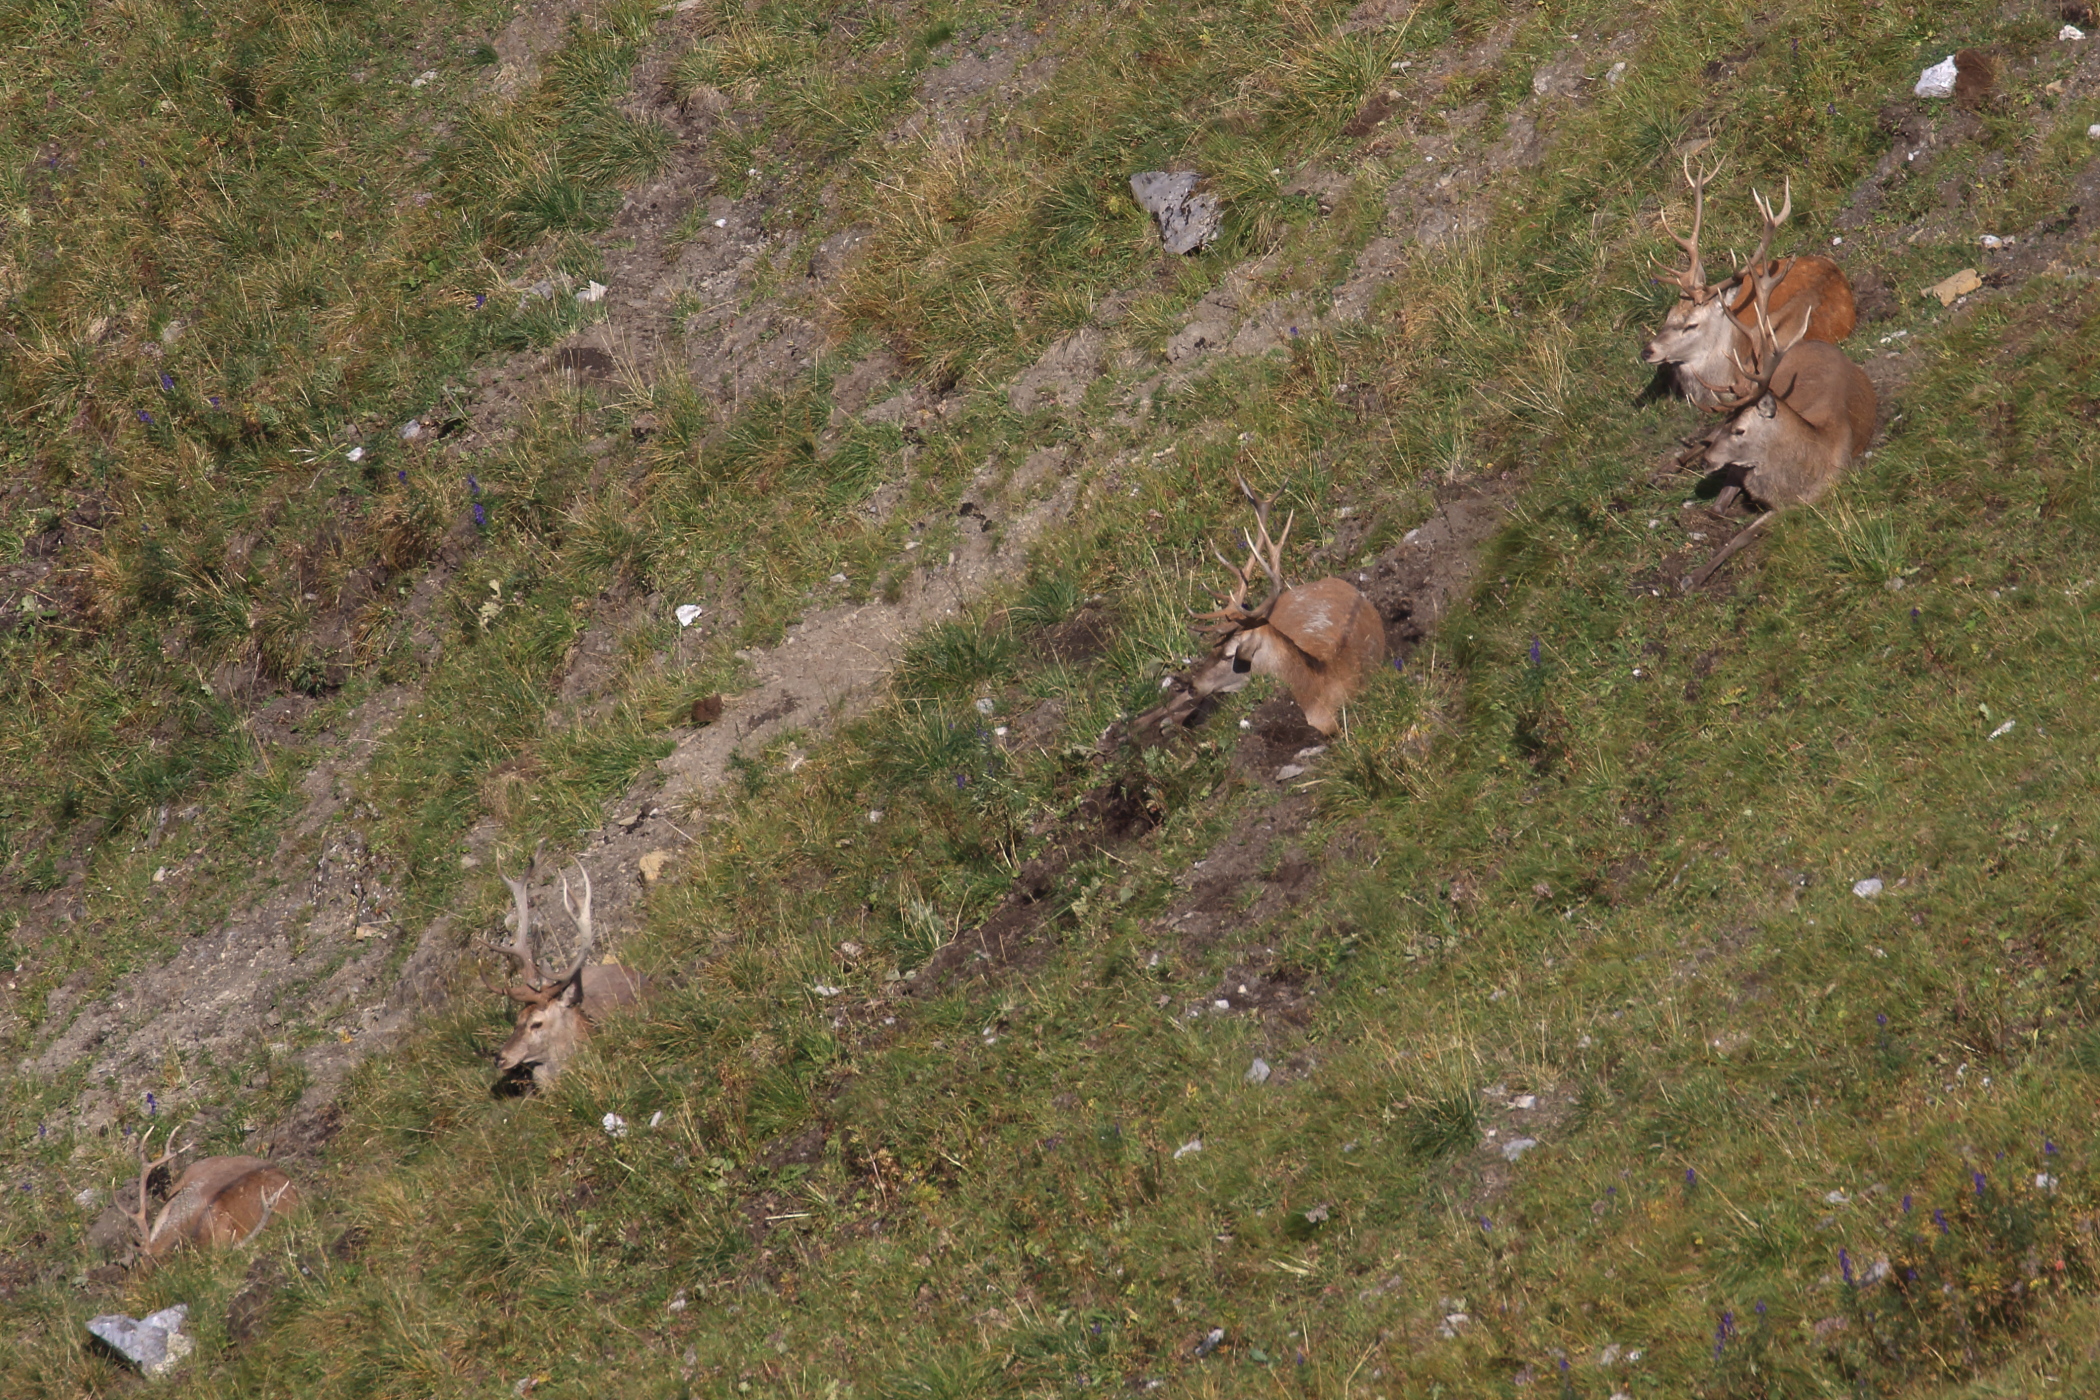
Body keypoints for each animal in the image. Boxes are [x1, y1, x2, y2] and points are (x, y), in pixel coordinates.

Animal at [1679, 185, 1881, 591]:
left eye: (1740, 430)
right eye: (1730, 426)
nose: (1710, 462)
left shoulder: (1804, 500)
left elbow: (1739, 532)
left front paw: (1697, 574)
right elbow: (1721, 513)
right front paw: (1695, 574)